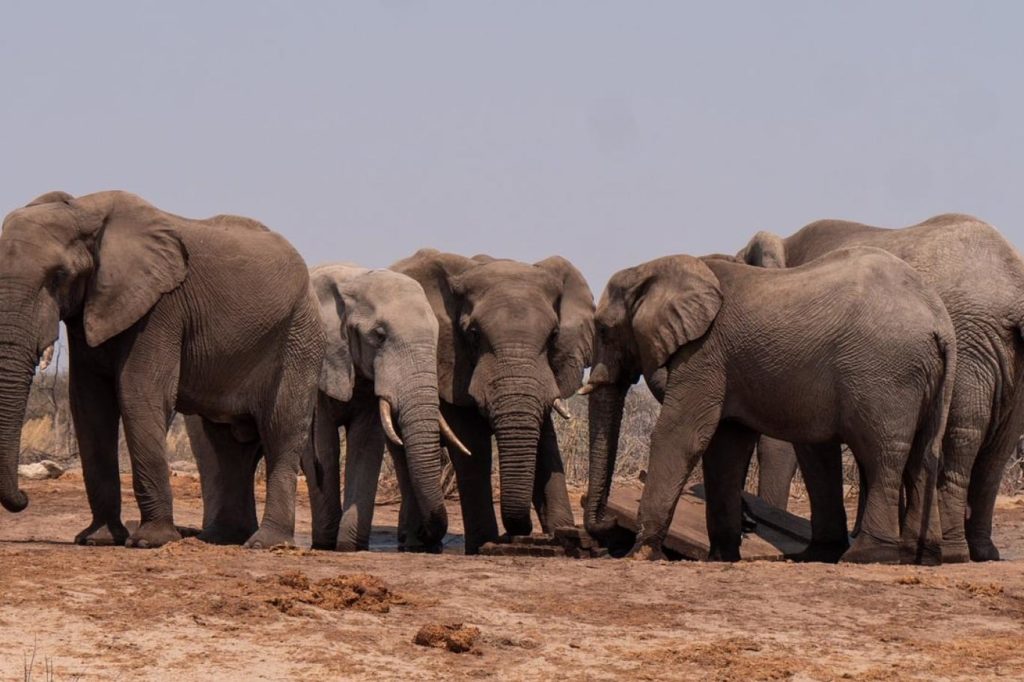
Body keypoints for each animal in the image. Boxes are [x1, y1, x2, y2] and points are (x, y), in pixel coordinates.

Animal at [0, 189, 321, 548]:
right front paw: (97, 539)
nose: (24, 497)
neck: (84, 210)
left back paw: (265, 543)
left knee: (281, 430)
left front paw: (149, 541)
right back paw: (221, 538)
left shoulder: (161, 308)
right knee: (227, 446)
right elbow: (89, 406)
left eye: (58, 276)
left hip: (299, 336)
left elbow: (139, 393)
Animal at [393, 249, 598, 552]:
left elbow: (545, 442)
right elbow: (472, 445)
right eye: (473, 334)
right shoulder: (451, 363)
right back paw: (415, 542)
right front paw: (484, 543)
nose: (520, 531)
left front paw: (563, 534)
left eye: (554, 336)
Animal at [581, 246, 954, 561]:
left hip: (886, 373)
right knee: (923, 454)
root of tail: (939, 320)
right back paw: (921, 556)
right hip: (921, 375)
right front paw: (722, 557)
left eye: (604, 330)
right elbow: (726, 448)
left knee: (882, 454)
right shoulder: (725, 363)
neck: (655, 269)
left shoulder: (704, 353)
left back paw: (866, 555)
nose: (607, 527)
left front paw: (641, 553)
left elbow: (681, 435)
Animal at [741, 215, 1024, 561]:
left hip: (970, 342)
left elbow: (793, 441)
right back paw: (981, 552)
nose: (751, 523)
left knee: (961, 437)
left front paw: (818, 551)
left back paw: (952, 552)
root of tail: (1015, 287)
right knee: (998, 449)